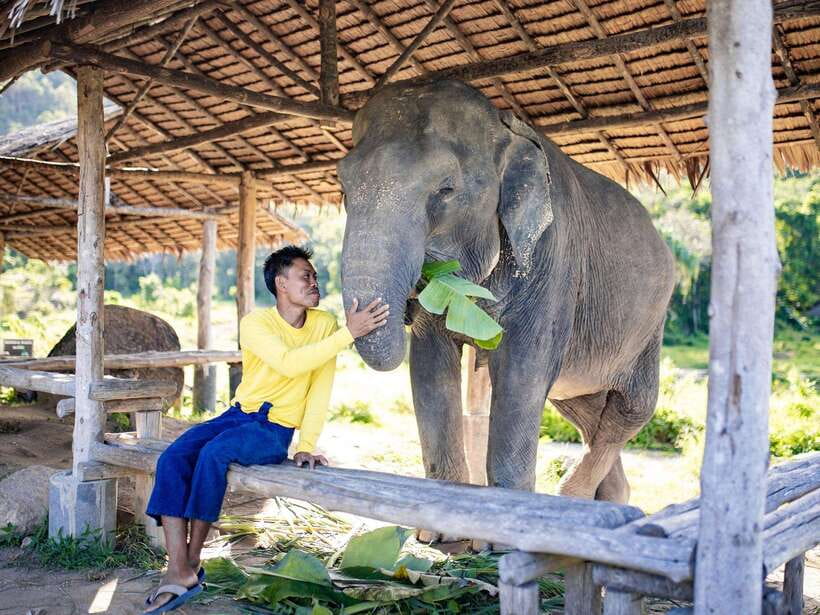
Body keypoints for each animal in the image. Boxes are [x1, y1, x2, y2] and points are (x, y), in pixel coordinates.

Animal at [338, 79, 675, 505]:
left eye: (445, 190)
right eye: (342, 188)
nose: (404, 307)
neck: (505, 129)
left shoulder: (553, 258)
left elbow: (522, 372)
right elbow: (431, 366)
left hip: (650, 329)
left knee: (630, 410)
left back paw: (572, 496)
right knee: (582, 408)